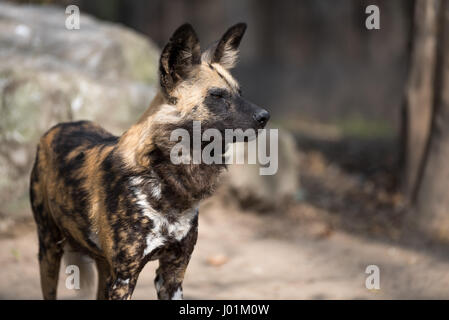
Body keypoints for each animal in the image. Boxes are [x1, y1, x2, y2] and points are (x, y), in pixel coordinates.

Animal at [28, 23, 270, 300]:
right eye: (217, 96)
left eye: (240, 93)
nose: (265, 116)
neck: (169, 181)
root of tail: (61, 125)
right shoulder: (124, 278)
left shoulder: (172, 275)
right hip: (49, 250)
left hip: (102, 265)